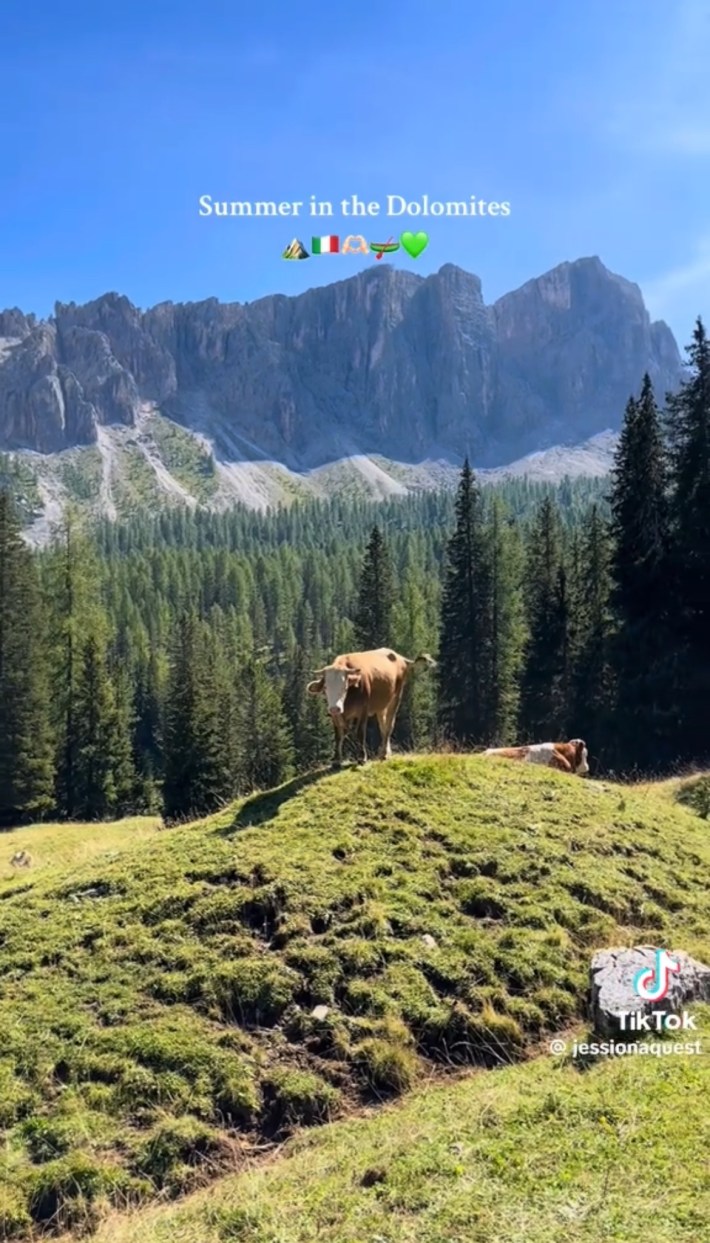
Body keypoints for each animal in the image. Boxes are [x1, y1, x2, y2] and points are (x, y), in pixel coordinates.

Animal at [307, 647, 437, 767]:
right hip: (381, 705)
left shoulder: (363, 710)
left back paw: (384, 754)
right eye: (325, 688)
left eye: (345, 687)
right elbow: (338, 735)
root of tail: (400, 658)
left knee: (389, 725)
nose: (335, 708)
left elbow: (360, 732)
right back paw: (386, 752)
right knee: (383, 726)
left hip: (395, 698)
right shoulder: (336, 716)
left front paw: (362, 757)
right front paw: (336, 760)